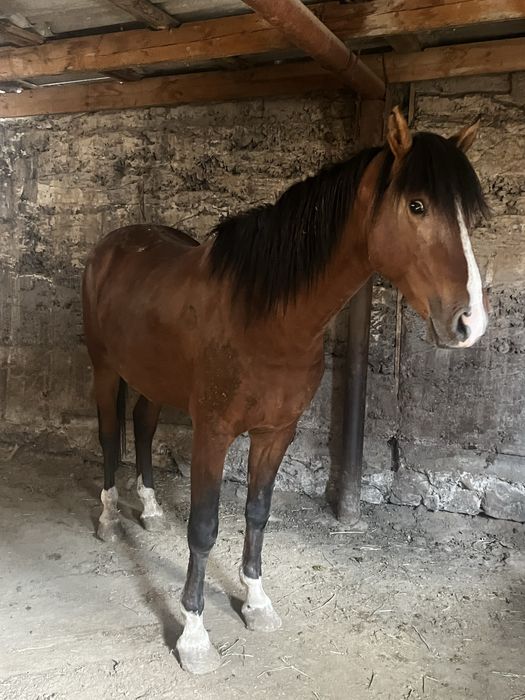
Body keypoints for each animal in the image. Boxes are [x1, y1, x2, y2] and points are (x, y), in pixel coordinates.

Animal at [82, 107, 489, 674]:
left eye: (470, 216)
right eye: (417, 205)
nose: (469, 323)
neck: (265, 318)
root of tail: (112, 246)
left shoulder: (277, 432)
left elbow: (258, 512)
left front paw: (255, 602)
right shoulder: (213, 433)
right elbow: (204, 526)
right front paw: (194, 635)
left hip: (152, 377)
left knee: (141, 424)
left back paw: (150, 508)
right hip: (104, 368)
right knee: (108, 433)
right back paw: (107, 516)